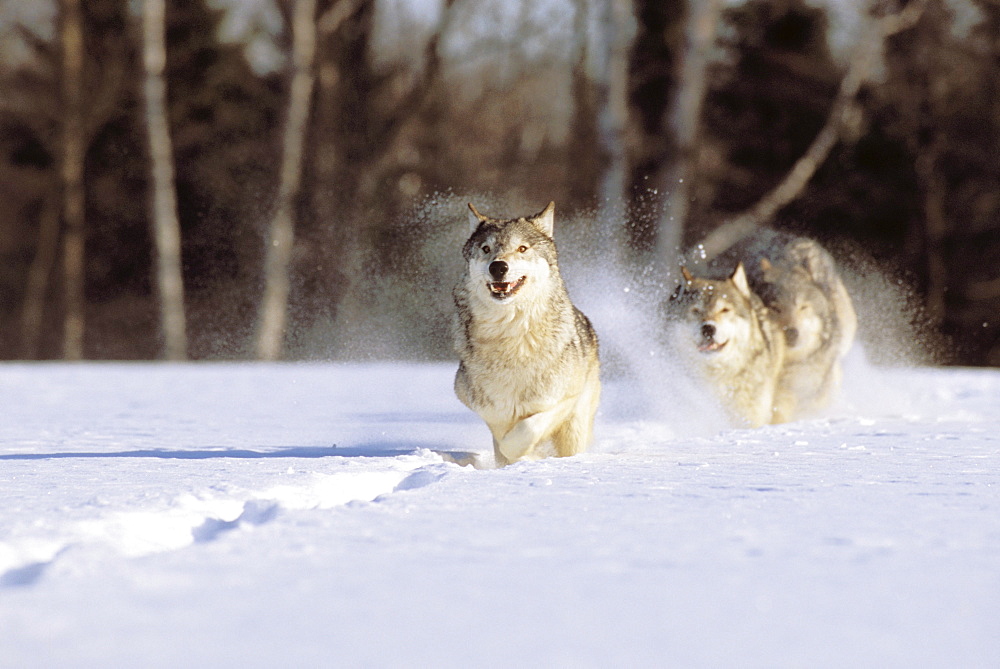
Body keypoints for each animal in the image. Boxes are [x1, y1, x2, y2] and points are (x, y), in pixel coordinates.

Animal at [454, 201, 600, 468]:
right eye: (486, 248)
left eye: (522, 248)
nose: (498, 266)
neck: (510, 338)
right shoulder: (487, 408)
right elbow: (502, 439)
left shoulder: (565, 400)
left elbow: (522, 433)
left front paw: (529, 458)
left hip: (575, 428)